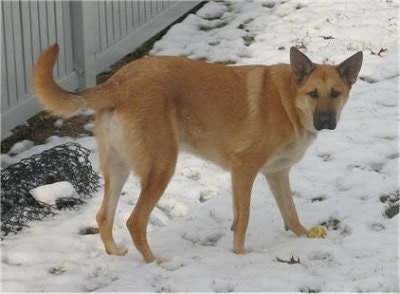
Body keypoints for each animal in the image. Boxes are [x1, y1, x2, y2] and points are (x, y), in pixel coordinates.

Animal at [32, 44, 362, 262]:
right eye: (313, 94)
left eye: (335, 94)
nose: (326, 122)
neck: (289, 101)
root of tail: (117, 82)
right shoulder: (244, 169)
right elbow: (243, 219)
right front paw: (240, 256)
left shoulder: (276, 173)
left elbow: (290, 215)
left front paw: (305, 238)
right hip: (162, 167)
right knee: (134, 221)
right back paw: (156, 263)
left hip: (118, 169)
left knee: (104, 216)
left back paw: (115, 252)